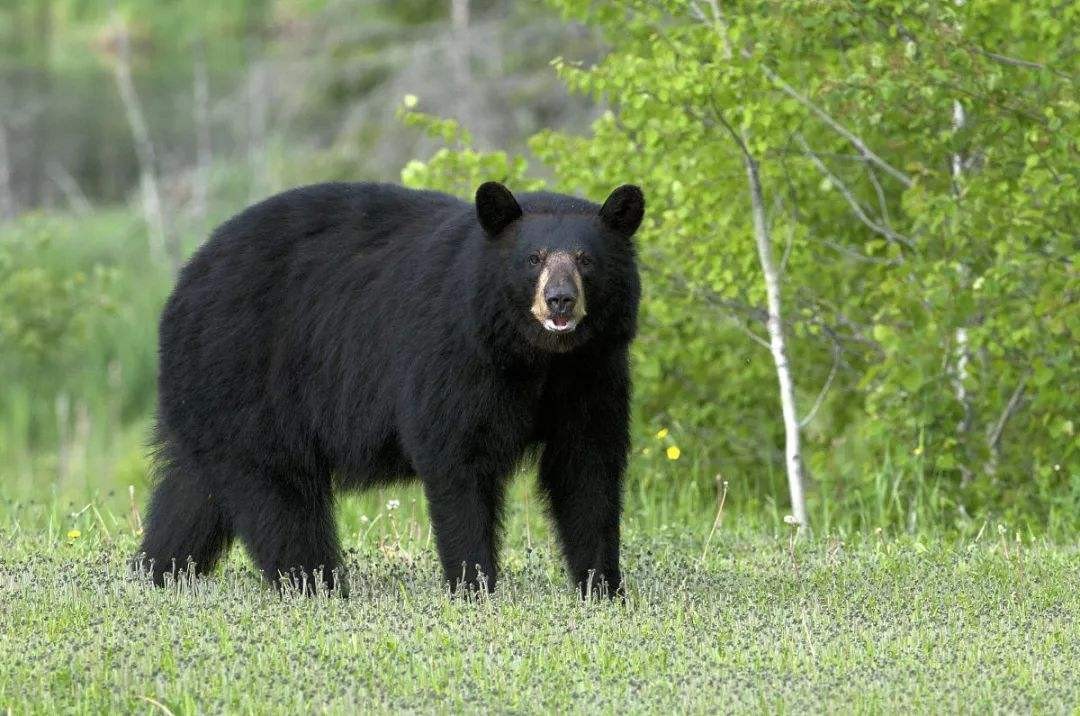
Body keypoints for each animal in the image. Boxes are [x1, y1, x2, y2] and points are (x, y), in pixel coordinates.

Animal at [135, 180, 639, 600]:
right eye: (533, 258)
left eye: (585, 259)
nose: (560, 300)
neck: (537, 357)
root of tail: (183, 283)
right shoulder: (455, 357)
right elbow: (458, 458)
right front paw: (474, 587)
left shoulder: (593, 371)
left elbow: (587, 467)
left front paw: (603, 588)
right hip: (250, 377)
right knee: (279, 495)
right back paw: (317, 586)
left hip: (211, 400)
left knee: (193, 493)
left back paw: (159, 572)